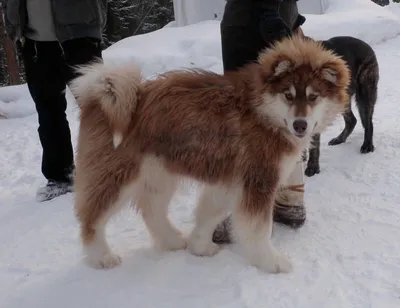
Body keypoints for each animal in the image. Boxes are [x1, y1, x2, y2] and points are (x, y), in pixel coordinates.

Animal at [69, 36, 350, 274]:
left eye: (314, 96)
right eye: (288, 95)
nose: (300, 125)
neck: (262, 114)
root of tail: (101, 96)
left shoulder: (230, 181)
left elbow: (209, 214)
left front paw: (199, 246)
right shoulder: (257, 181)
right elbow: (258, 228)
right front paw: (271, 262)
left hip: (160, 173)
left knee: (151, 209)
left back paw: (172, 240)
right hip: (116, 175)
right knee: (91, 218)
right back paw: (101, 256)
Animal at [304, 35, 380, 176]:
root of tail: (366, 45)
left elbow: (313, 145)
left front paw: (312, 167)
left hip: (364, 95)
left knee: (368, 123)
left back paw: (367, 145)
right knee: (352, 120)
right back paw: (340, 138)